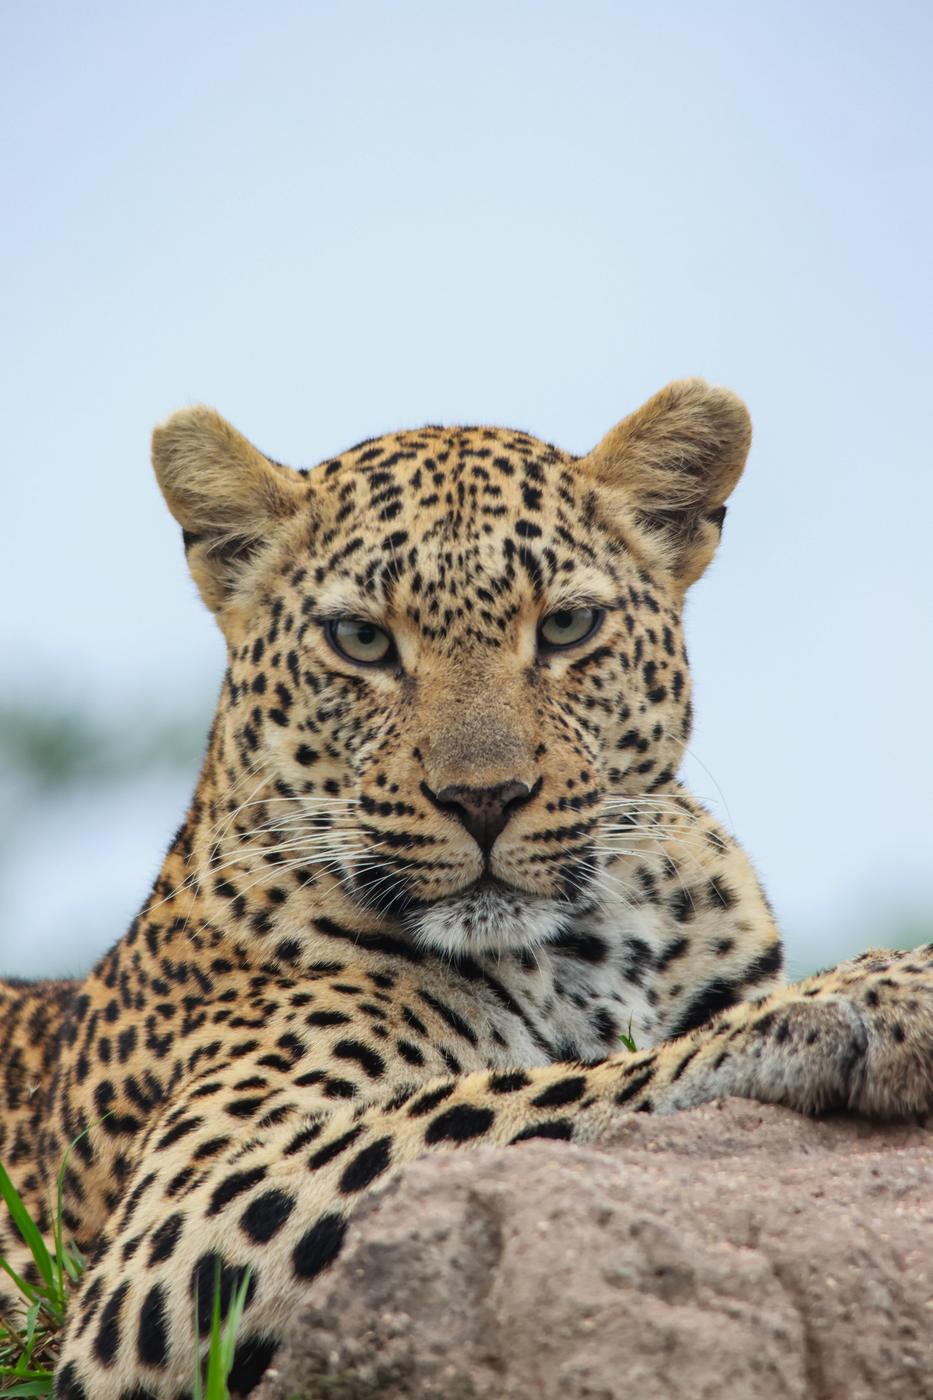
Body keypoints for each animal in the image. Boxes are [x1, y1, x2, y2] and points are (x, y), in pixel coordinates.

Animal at [1, 378, 930, 1400]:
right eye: (361, 640)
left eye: (565, 627)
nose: (483, 797)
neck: (590, 949)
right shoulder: (177, 1220)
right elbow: (538, 1088)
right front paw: (862, 998)